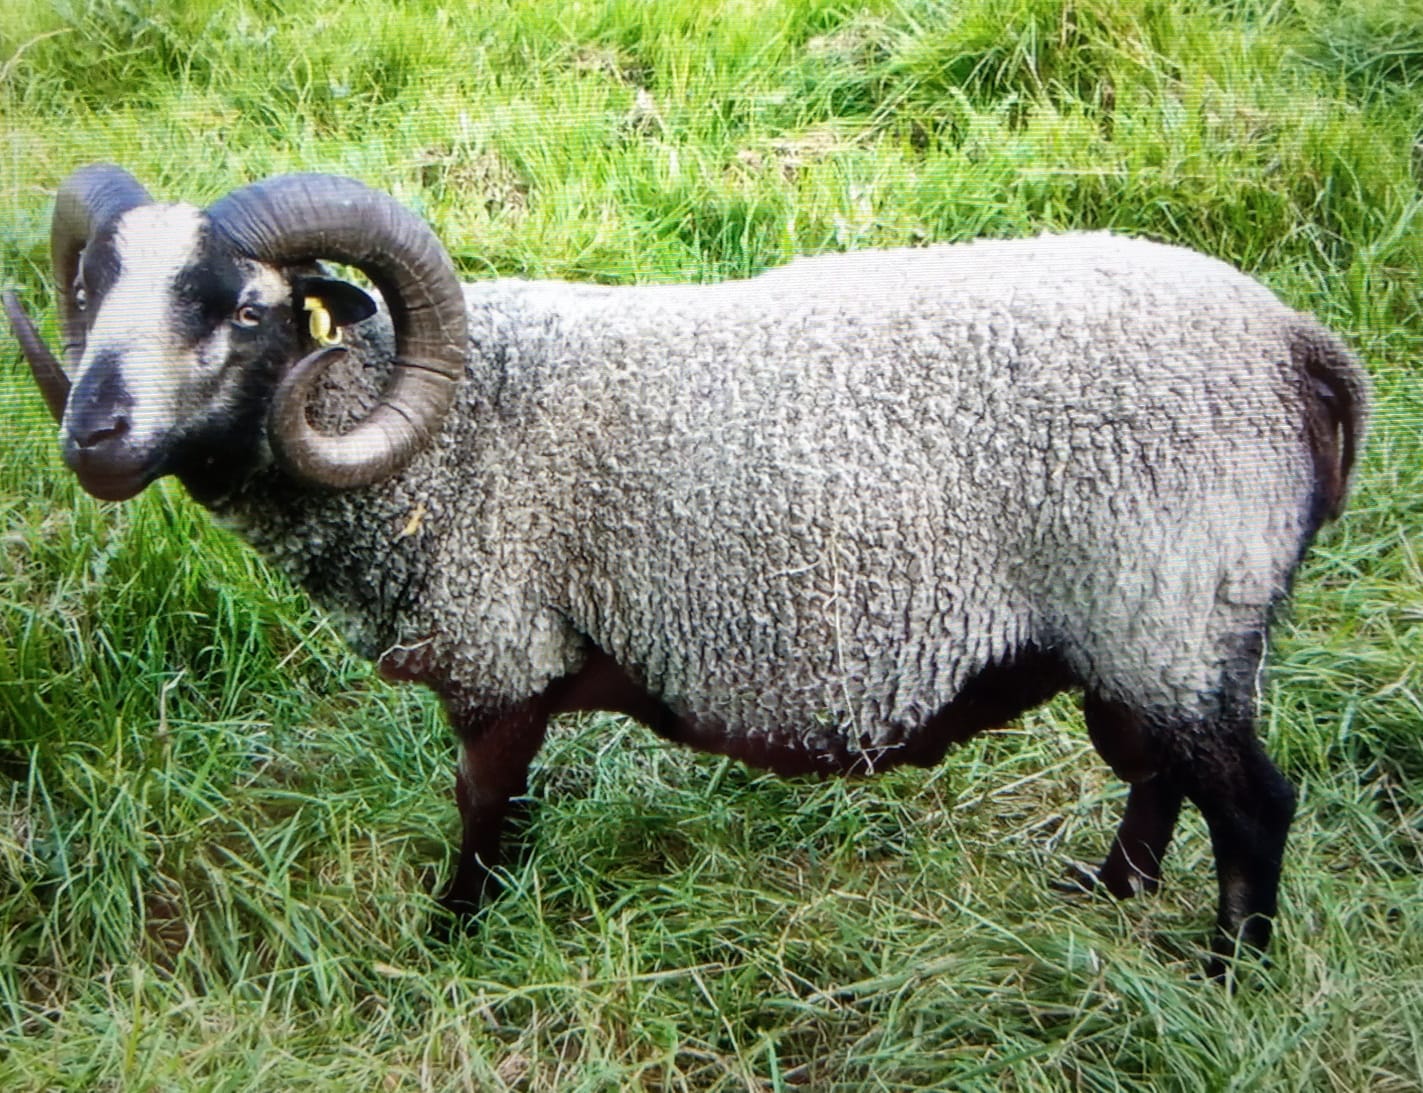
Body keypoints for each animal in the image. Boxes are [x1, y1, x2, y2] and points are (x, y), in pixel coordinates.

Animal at [5, 164, 1368, 974]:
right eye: (93, 288)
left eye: (244, 309)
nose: (91, 436)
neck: (442, 431)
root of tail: (1297, 346)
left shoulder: (503, 656)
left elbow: (484, 815)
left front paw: (448, 944)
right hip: (1148, 636)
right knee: (1162, 777)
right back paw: (1106, 892)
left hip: (1166, 609)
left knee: (1252, 804)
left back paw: (1223, 975)